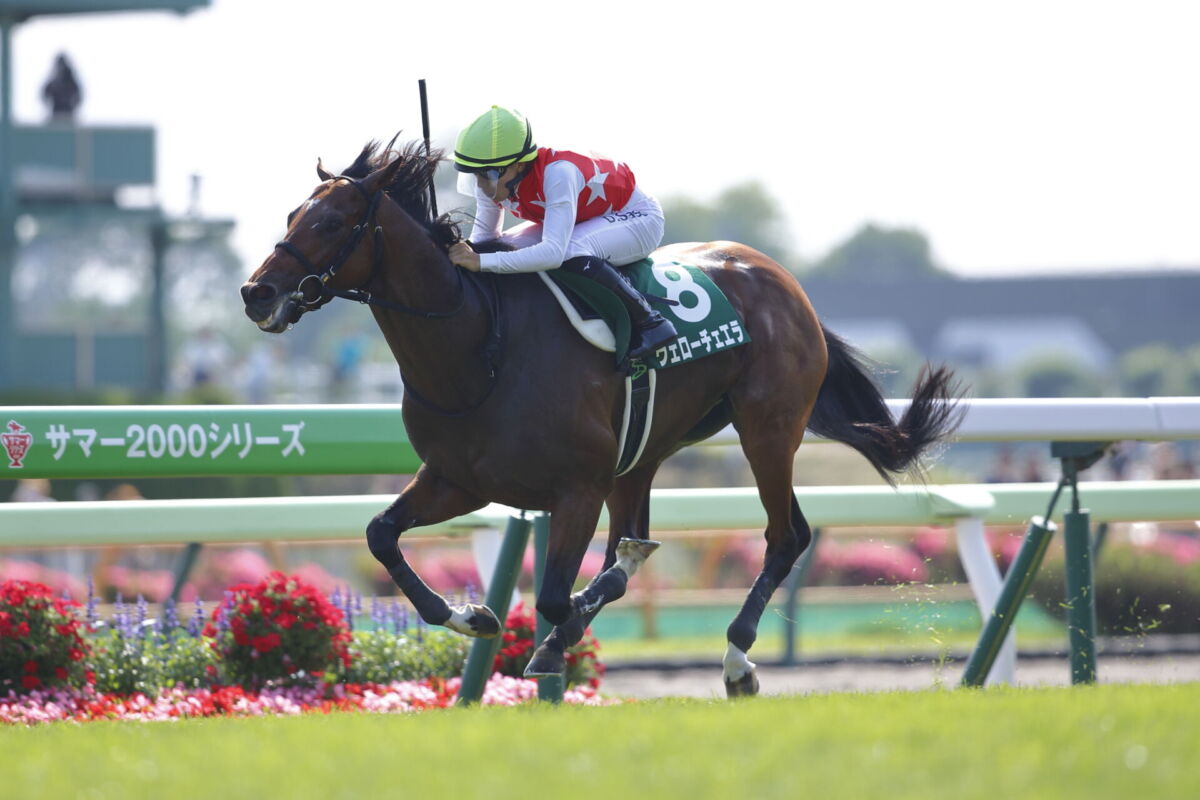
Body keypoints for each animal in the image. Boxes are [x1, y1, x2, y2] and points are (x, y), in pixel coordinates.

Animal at [241, 139, 964, 697]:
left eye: (333, 223)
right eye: (294, 213)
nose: (256, 292)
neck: (479, 347)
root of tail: (783, 280)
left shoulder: (576, 488)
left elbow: (555, 597)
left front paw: (548, 644)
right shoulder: (459, 479)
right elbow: (381, 534)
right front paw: (472, 616)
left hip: (768, 427)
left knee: (785, 537)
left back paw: (736, 659)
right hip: (644, 450)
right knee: (640, 538)